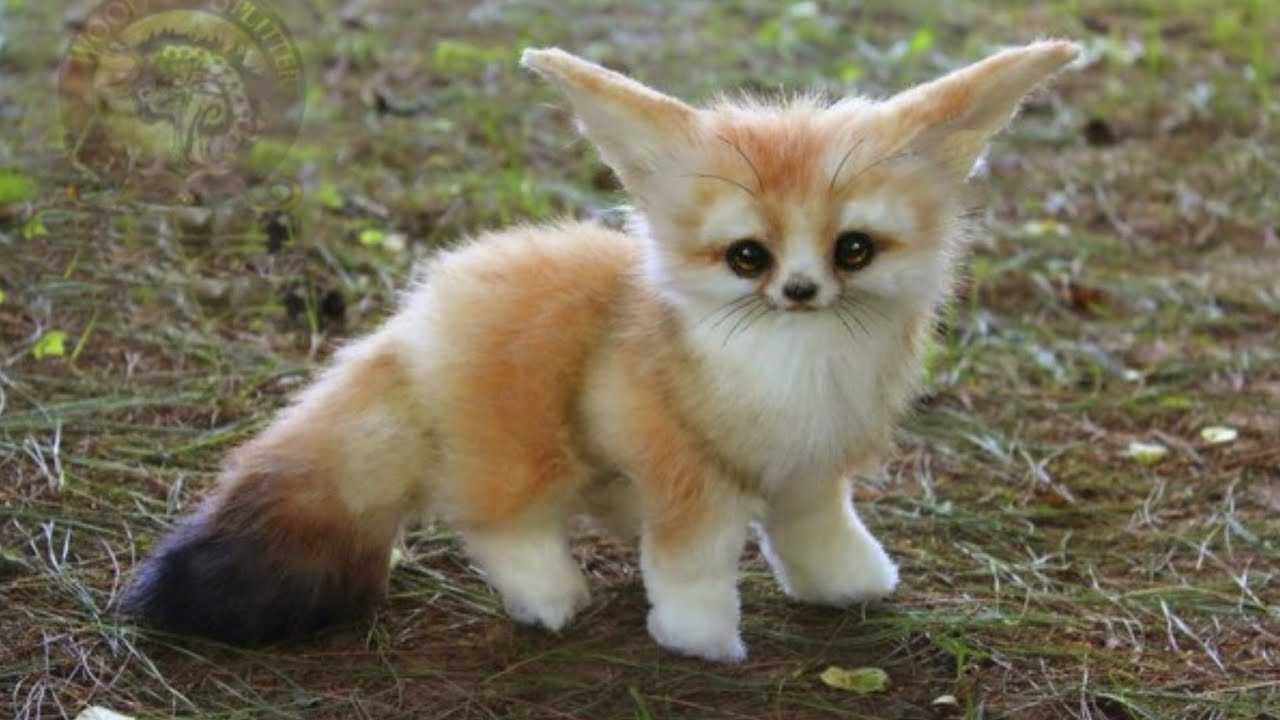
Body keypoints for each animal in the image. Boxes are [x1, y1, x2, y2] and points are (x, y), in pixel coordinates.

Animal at [122, 41, 1080, 661]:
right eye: (748, 258)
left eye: (853, 251)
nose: (802, 292)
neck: (794, 366)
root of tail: (415, 314)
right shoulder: (690, 475)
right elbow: (693, 567)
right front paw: (700, 642)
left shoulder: (811, 470)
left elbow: (816, 535)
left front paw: (850, 583)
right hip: (526, 446)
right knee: (497, 521)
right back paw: (548, 598)